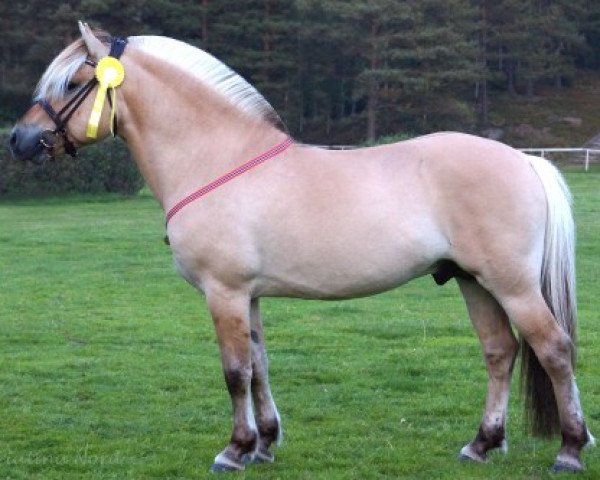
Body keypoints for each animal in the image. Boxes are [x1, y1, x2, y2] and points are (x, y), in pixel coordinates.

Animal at [9, 23, 596, 472]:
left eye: (74, 80)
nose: (18, 139)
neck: (214, 157)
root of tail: (524, 159)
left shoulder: (223, 293)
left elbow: (234, 372)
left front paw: (235, 450)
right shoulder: (248, 296)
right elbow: (259, 365)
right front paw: (265, 444)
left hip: (511, 284)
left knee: (553, 349)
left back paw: (569, 449)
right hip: (474, 282)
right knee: (500, 352)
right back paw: (481, 444)